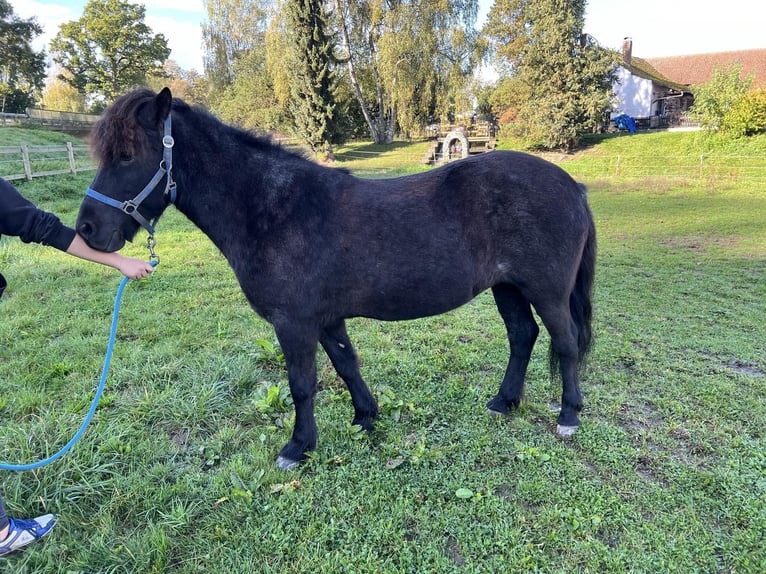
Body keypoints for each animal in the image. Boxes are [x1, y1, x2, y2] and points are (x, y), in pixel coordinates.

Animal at [75, 88, 596, 470]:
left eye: (127, 154)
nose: (87, 230)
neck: (272, 210)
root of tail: (571, 185)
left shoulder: (294, 323)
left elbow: (302, 384)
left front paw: (298, 446)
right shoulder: (325, 319)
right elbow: (347, 365)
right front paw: (366, 417)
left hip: (546, 291)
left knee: (565, 343)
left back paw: (569, 414)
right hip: (508, 288)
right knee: (523, 336)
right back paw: (504, 402)